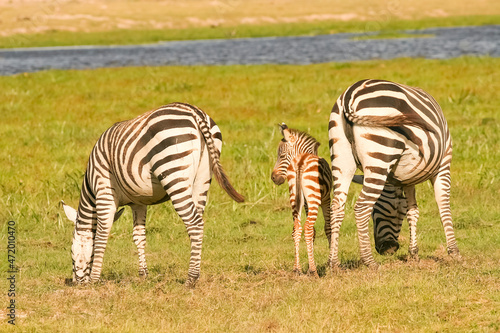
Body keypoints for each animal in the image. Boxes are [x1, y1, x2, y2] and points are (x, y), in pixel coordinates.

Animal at [61, 102, 245, 286]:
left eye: (70, 252)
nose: (76, 282)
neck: (91, 190)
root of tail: (195, 112)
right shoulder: (138, 202)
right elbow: (139, 236)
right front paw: (143, 274)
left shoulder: (104, 191)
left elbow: (101, 234)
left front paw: (94, 279)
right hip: (203, 176)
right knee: (198, 221)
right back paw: (195, 274)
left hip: (173, 170)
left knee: (194, 222)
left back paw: (190, 279)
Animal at [272, 122, 334, 274]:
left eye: (282, 155)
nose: (273, 178)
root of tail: (300, 161)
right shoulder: (326, 199)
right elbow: (328, 227)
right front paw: (331, 263)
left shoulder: (304, 202)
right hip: (314, 198)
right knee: (308, 227)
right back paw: (313, 271)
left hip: (294, 196)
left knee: (297, 228)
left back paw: (297, 269)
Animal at [328, 78, 460, 268]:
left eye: (376, 213)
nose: (384, 250)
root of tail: (349, 96)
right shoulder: (443, 164)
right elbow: (443, 205)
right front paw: (454, 252)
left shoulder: (409, 178)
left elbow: (413, 211)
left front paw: (413, 254)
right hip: (380, 154)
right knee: (361, 207)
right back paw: (370, 262)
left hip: (341, 159)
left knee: (337, 207)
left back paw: (333, 263)